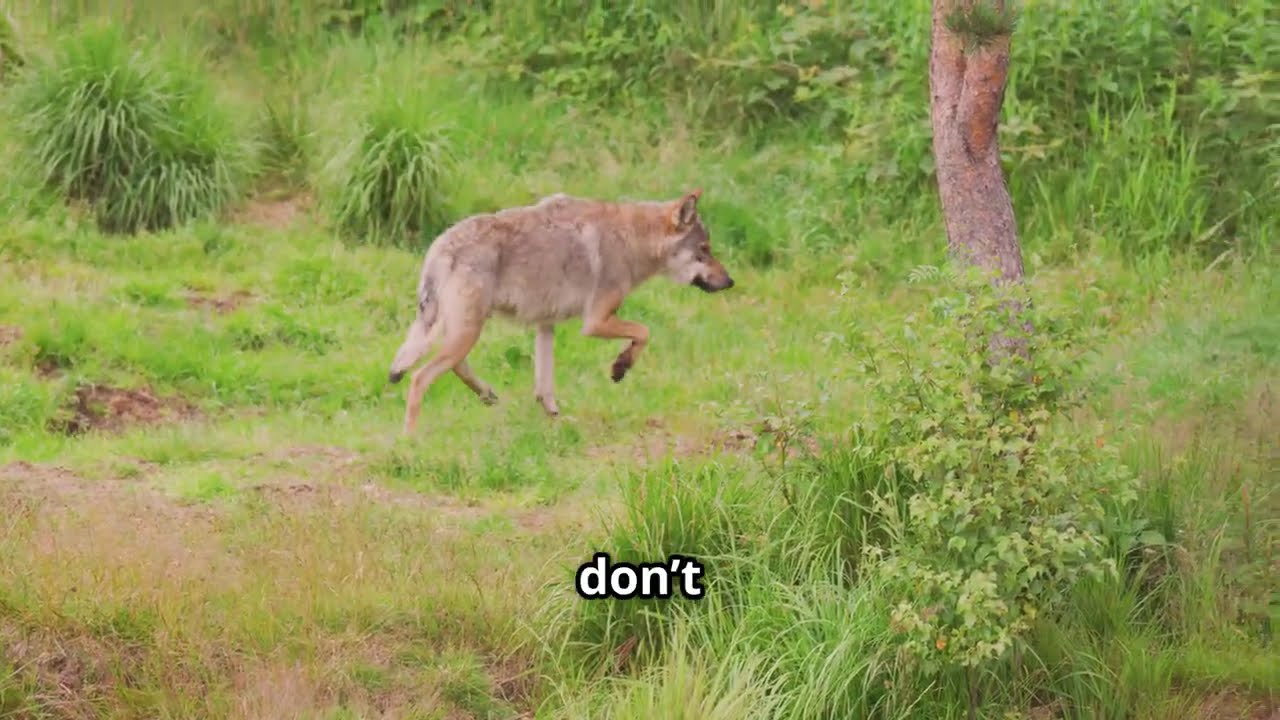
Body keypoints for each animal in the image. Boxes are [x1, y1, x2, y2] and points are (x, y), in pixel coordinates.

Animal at [387, 189, 735, 434]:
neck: (631, 240)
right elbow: (644, 332)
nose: (730, 282)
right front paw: (620, 367)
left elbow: (545, 384)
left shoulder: (546, 325)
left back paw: (486, 394)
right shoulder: (594, 322)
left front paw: (554, 417)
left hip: (460, 331)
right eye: (704, 251)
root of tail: (439, 247)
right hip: (466, 332)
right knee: (418, 378)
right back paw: (410, 439)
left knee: (453, 366)